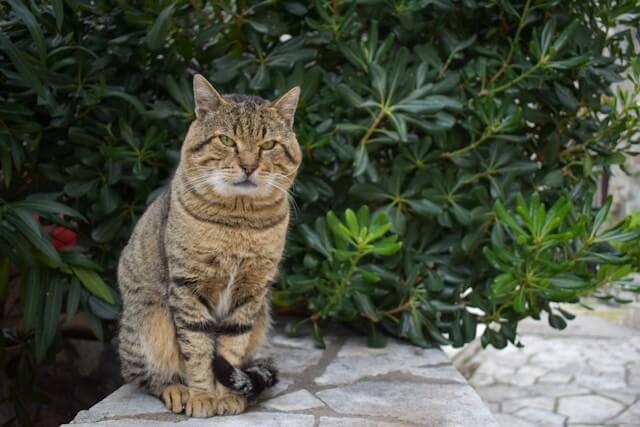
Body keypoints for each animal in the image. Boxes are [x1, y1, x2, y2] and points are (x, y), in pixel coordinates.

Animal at [116, 74, 302, 418]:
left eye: (268, 145)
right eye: (227, 141)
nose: (248, 165)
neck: (239, 221)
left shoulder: (251, 292)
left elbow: (230, 348)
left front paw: (225, 397)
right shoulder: (189, 285)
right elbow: (198, 347)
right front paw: (203, 396)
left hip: (262, 314)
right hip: (148, 317)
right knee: (143, 376)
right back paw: (177, 389)